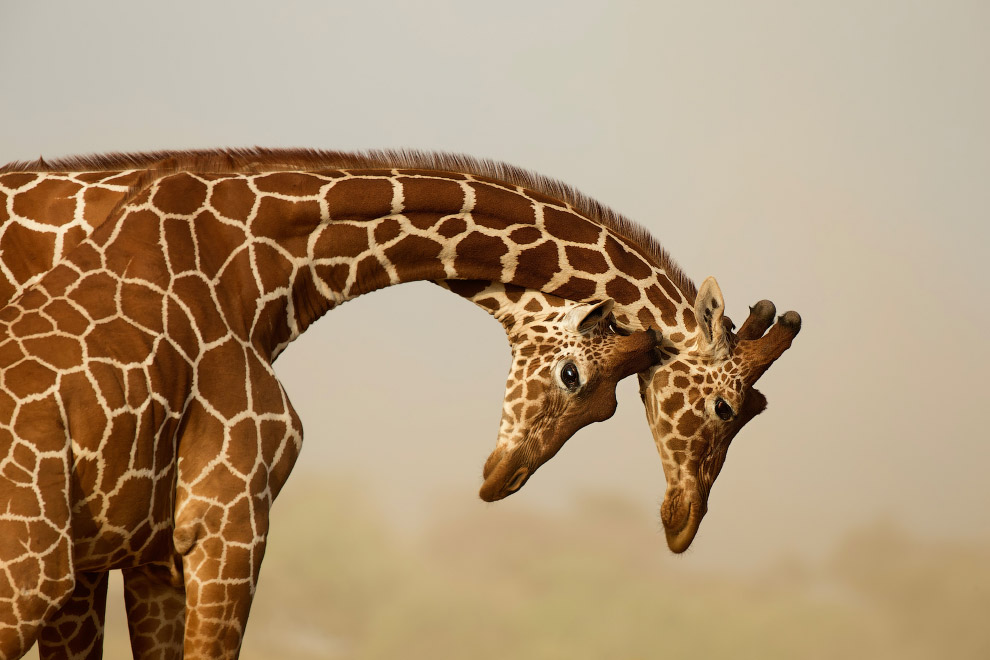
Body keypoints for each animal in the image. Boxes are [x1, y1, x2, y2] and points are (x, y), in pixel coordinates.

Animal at [0, 151, 672, 660]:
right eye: (572, 375)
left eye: (609, 414)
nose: (500, 480)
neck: (260, 268)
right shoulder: (228, 518)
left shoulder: (146, 551)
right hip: (31, 574)